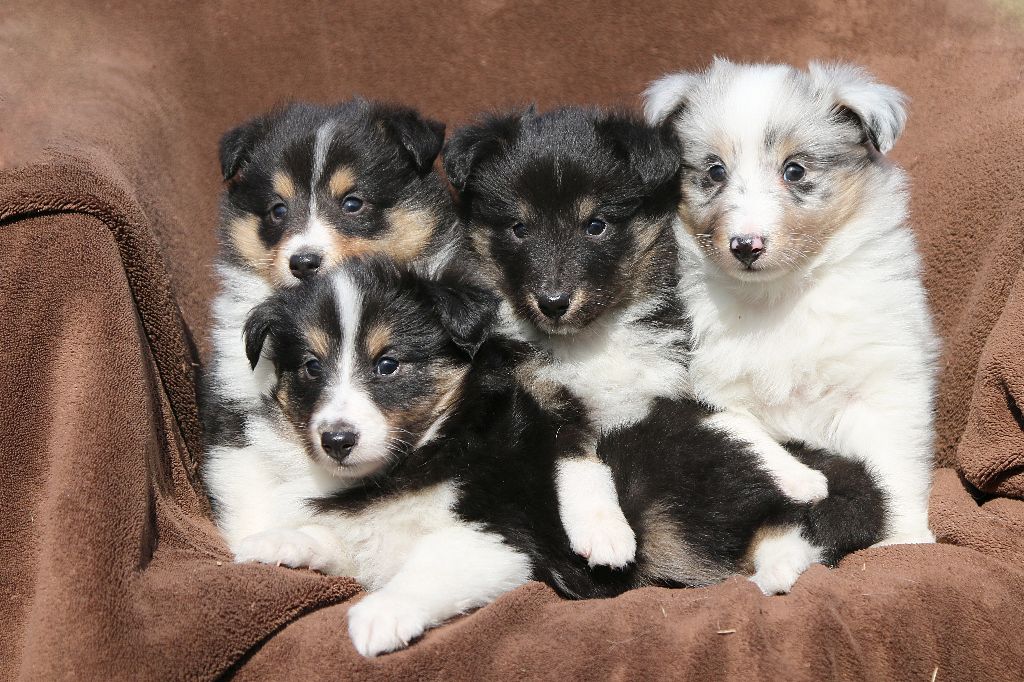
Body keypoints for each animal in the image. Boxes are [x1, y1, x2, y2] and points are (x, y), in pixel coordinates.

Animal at [203, 256, 884, 659]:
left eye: (388, 364)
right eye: (310, 368)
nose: (336, 440)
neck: (431, 447)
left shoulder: (501, 542)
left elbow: (426, 570)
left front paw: (379, 617)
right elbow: (345, 541)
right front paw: (279, 542)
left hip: (668, 504)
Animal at [643, 61, 937, 544]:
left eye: (794, 170)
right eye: (715, 171)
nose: (746, 245)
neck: (777, 295)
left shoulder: (883, 386)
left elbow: (895, 471)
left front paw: (905, 541)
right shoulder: (716, 392)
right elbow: (745, 433)